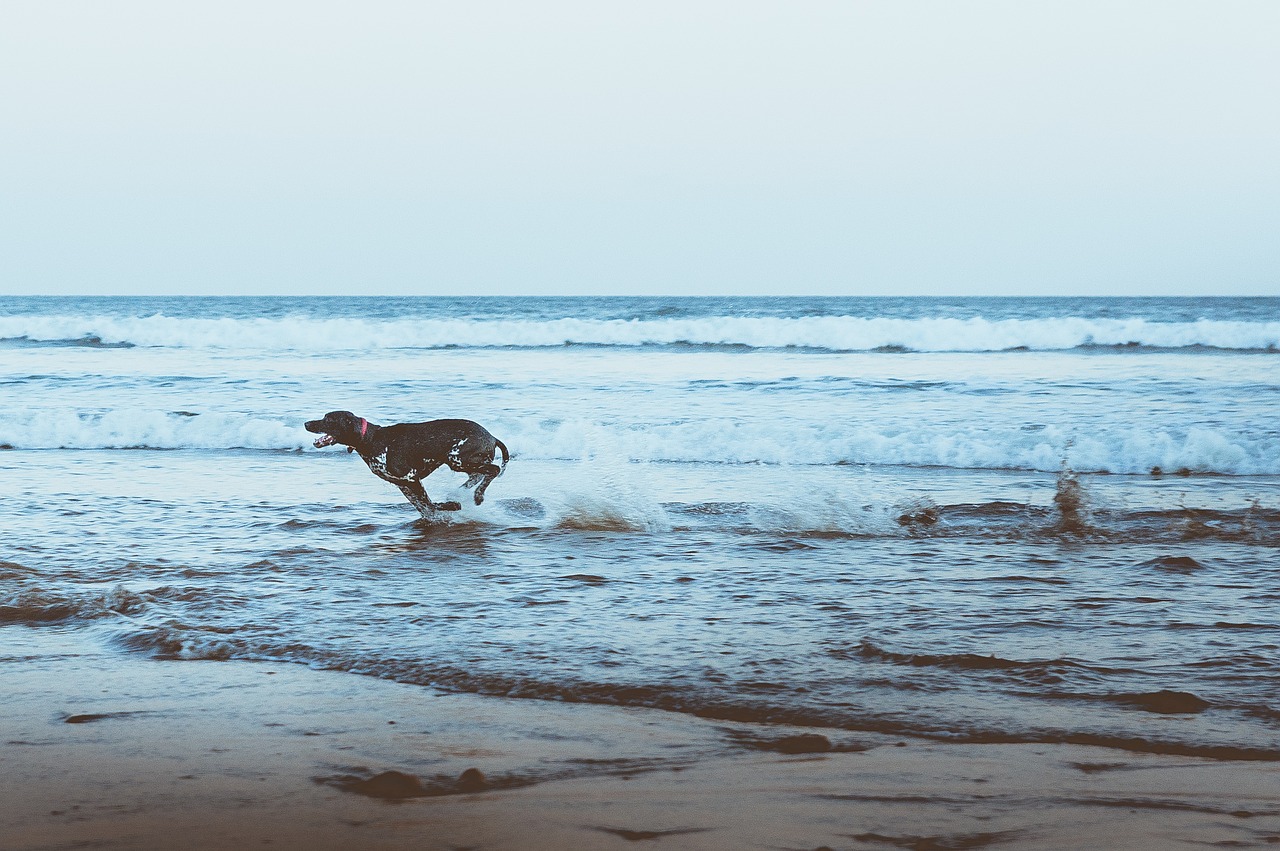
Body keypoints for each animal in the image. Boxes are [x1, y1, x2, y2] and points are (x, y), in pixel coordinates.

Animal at [304, 409, 509, 514]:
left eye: (328, 419)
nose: (306, 423)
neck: (371, 439)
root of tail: (492, 437)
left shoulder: (411, 479)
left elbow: (429, 506)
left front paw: (448, 506)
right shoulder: (404, 485)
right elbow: (425, 507)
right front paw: (447, 505)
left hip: (458, 459)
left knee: (493, 470)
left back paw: (478, 496)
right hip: (460, 462)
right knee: (477, 475)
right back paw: (460, 492)